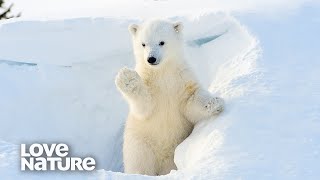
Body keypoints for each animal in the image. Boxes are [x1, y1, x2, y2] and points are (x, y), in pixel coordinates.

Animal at [116, 19, 224, 176]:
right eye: (143, 44)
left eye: (161, 42)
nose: (151, 59)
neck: (163, 73)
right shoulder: (149, 84)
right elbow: (144, 106)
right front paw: (127, 78)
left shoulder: (181, 79)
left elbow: (190, 100)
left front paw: (215, 103)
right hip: (140, 145)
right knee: (140, 164)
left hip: (172, 151)